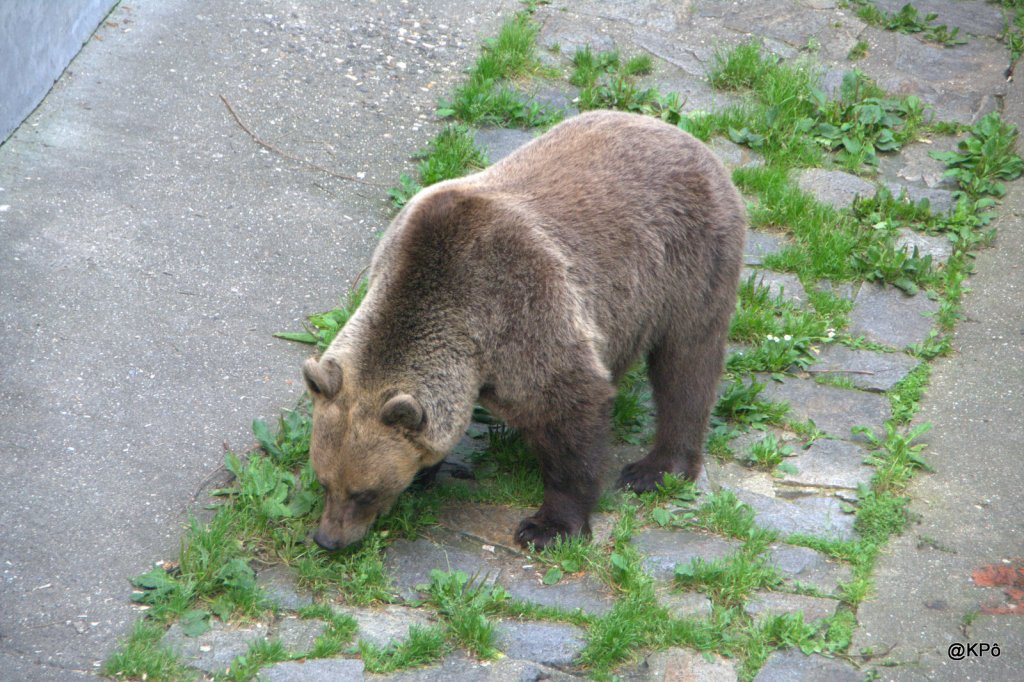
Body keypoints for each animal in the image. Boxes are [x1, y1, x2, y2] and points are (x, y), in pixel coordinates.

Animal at [303, 110, 746, 551]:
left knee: (687, 365)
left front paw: (547, 526)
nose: (329, 539)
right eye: (324, 481)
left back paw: (656, 469)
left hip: (689, 263)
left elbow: (572, 410)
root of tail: (686, 137)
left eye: (366, 493)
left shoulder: (521, 309)